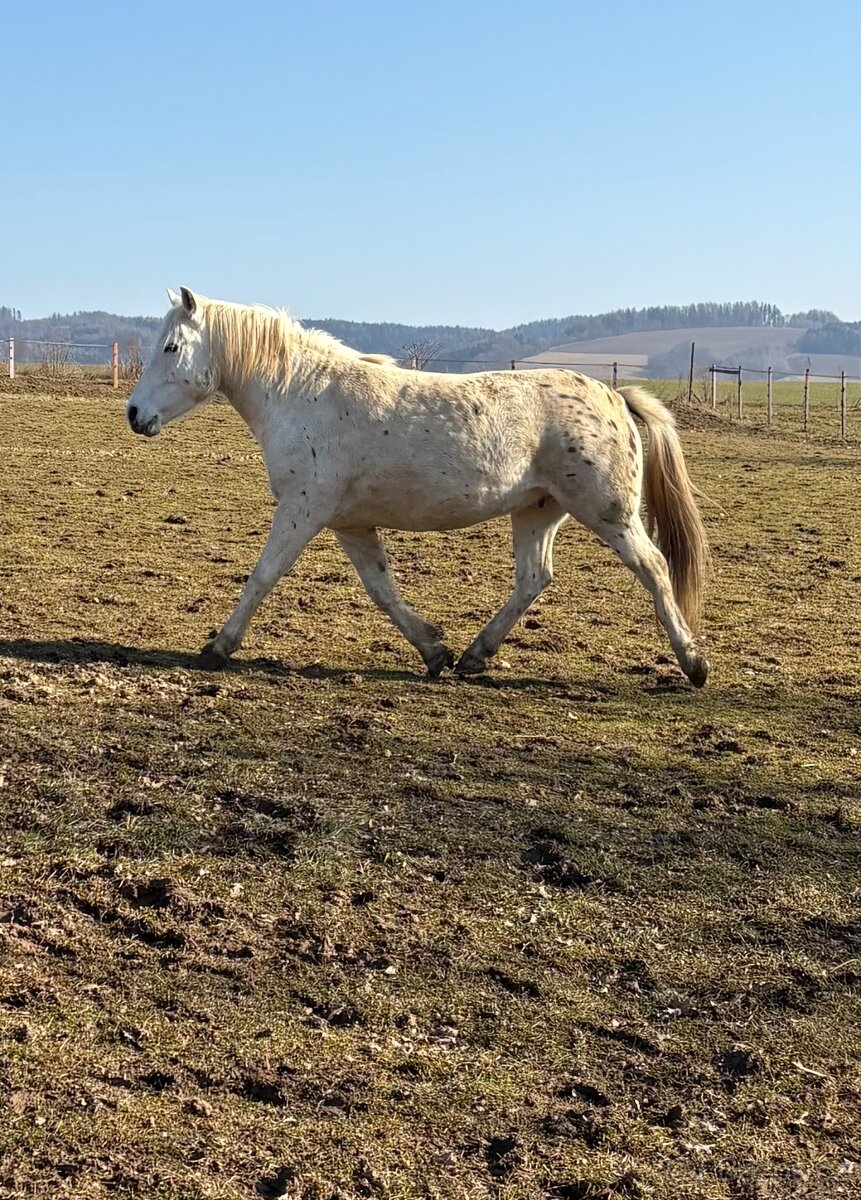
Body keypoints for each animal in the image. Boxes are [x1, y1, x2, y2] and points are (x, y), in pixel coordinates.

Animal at [126, 288, 710, 686]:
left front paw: (219, 646)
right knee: (533, 578)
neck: (301, 394)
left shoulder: (302, 509)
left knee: (655, 569)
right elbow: (382, 590)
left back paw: (694, 663)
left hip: (608, 512)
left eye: (172, 347)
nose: (134, 414)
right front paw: (433, 650)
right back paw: (475, 656)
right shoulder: (350, 523)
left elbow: (263, 575)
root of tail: (614, 395)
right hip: (537, 510)